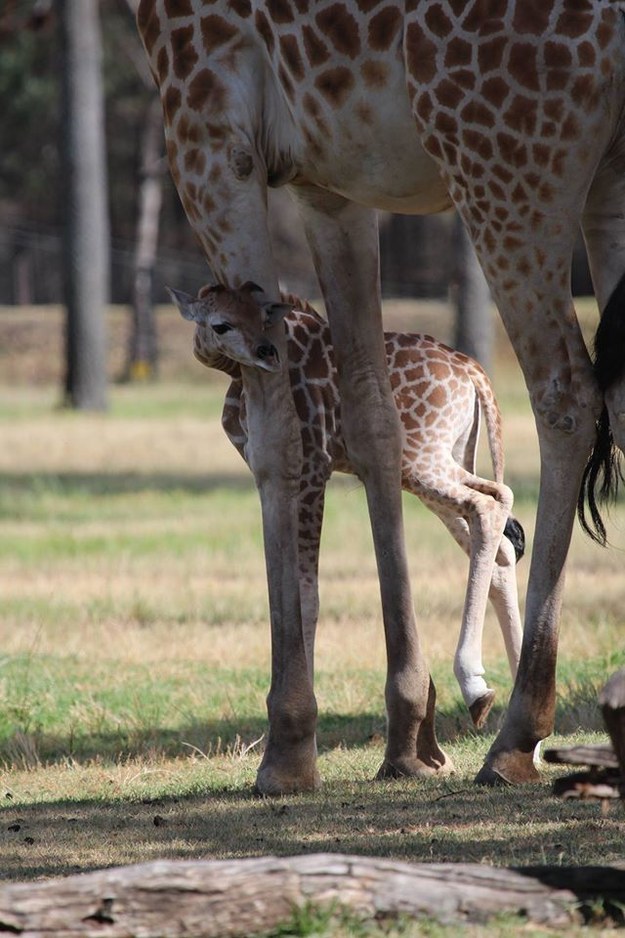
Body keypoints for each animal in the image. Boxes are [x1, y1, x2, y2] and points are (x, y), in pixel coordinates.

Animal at [169, 282, 520, 728]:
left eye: (263, 316)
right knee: (499, 523)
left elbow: (306, 593)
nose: (266, 352)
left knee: (488, 507)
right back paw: (519, 689)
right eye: (221, 323)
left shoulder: (311, 466)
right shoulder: (266, 474)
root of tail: (473, 373)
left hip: (421, 461)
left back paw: (475, 682)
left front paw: (299, 711)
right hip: (445, 458)